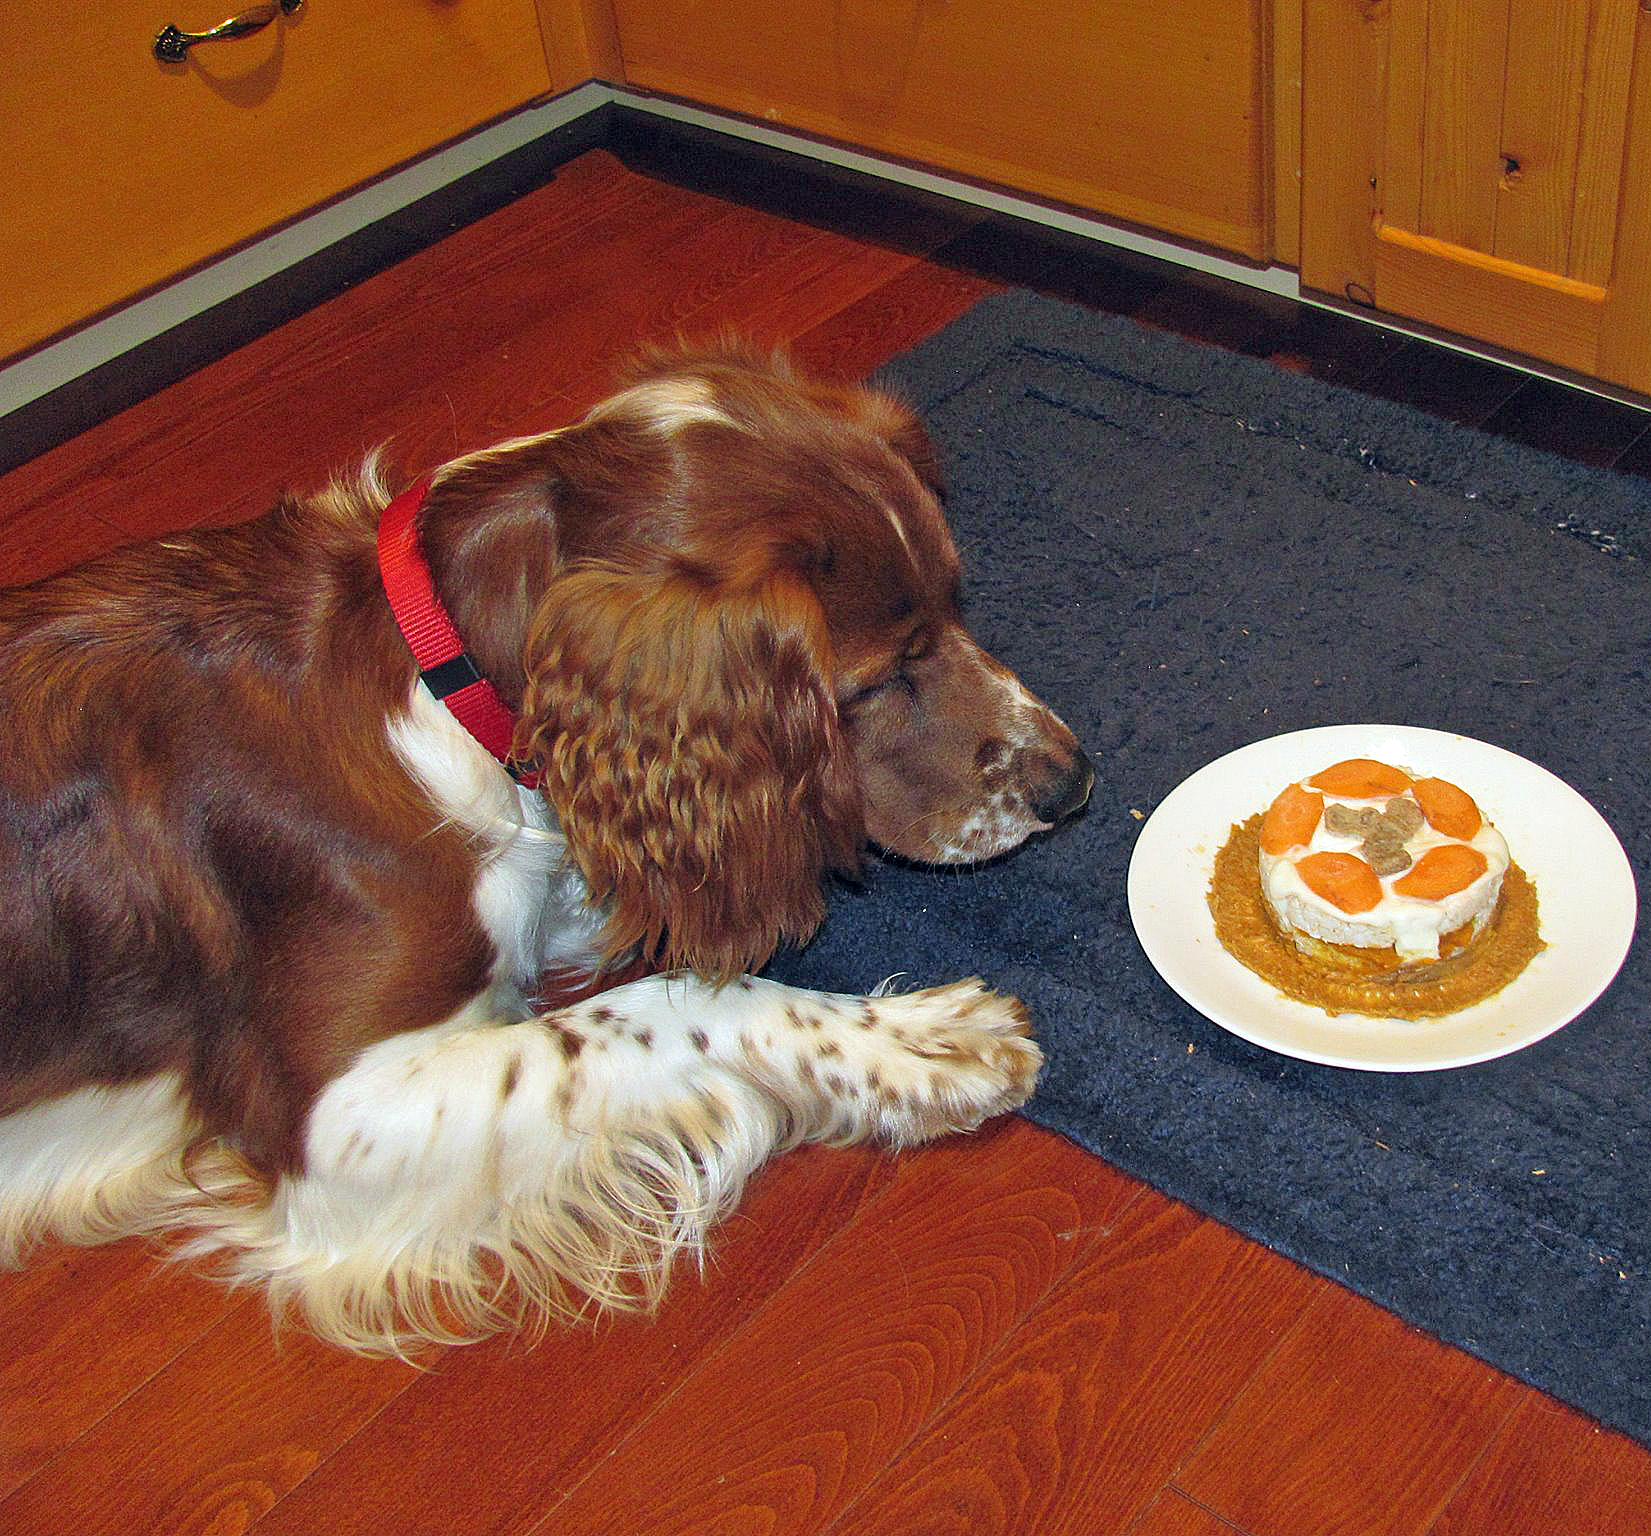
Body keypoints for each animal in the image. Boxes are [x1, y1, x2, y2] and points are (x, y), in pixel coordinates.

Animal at [0, 341, 1089, 1347]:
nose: (1072, 784)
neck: (434, 680)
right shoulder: (330, 1115)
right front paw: (924, 1043)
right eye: (875, 679)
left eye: (958, 604)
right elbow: (664, 1003)